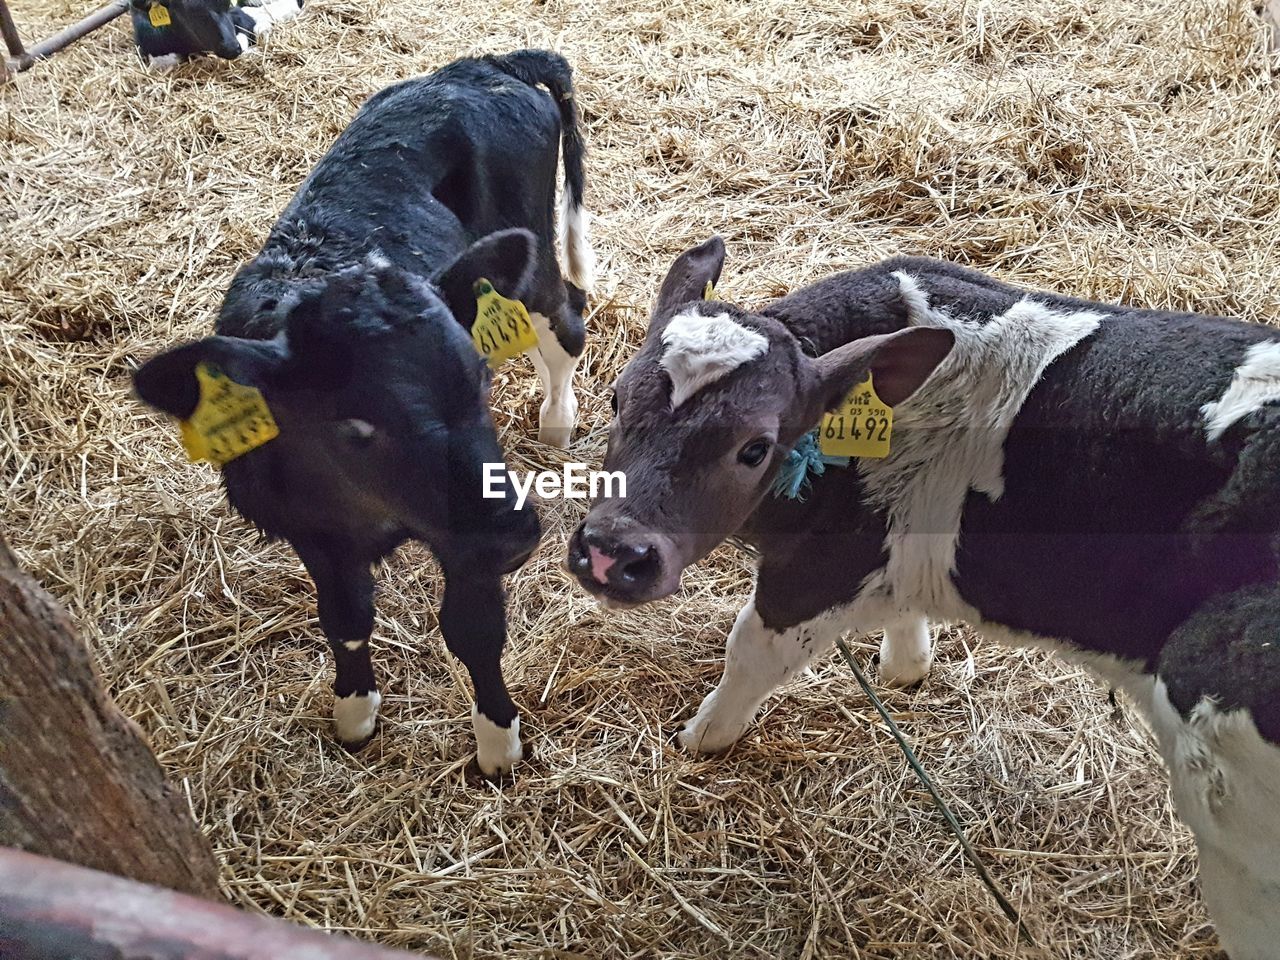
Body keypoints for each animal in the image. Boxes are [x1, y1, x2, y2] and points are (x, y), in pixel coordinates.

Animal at [135, 50, 593, 773]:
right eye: (356, 427)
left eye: (478, 383)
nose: (518, 536)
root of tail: (488, 62)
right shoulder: (311, 529)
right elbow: (345, 617)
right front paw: (354, 709)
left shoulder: (467, 529)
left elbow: (473, 630)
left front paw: (498, 742)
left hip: (537, 250)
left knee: (567, 315)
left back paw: (557, 417)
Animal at [573, 239, 1280, 957]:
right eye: (614, 398)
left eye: (755, 448)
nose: (611, 553)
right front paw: (906, 666)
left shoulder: (818, 570)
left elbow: (750, 652)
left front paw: (703, 736)